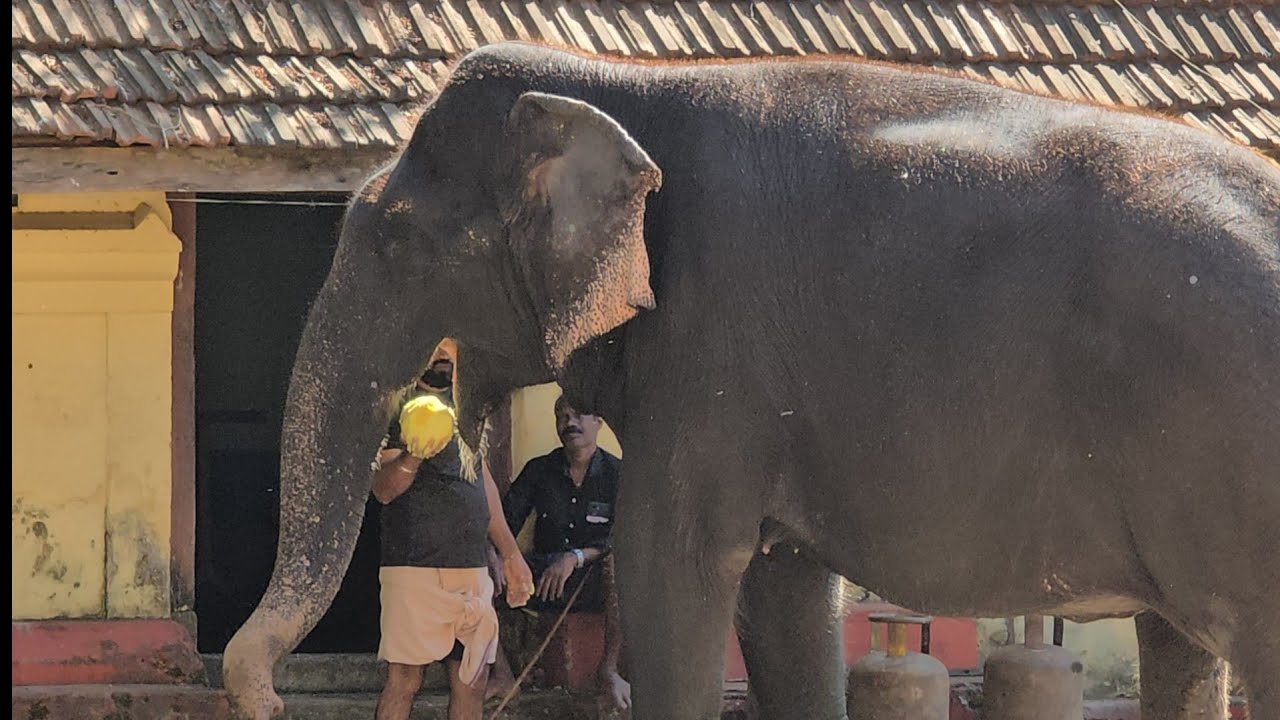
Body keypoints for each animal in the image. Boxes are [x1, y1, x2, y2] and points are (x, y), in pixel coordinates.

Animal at [223, 42, 1280, 720]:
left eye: (398, 240)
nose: (262, 695)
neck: (626, 85)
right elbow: (785, 597)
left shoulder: (712, 352)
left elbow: (669, 569)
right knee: (1180, 648)